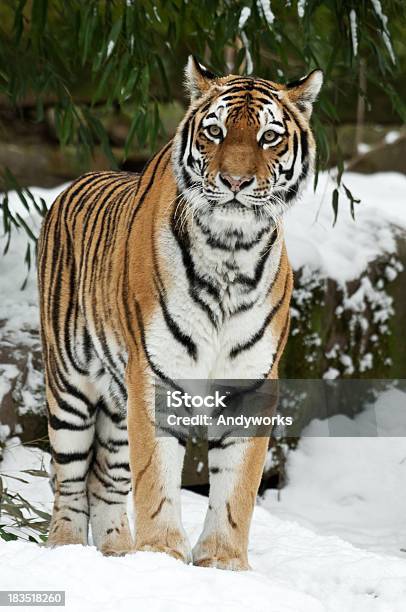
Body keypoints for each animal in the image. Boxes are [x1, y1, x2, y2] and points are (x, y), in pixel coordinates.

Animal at [38, 55, 322, 572]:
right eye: (215, 131)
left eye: (269, 136)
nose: (235, 183)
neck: (231, 251)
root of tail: (76, 182)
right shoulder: (154, 375)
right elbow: (156, 477)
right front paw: (161, 555)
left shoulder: (252, 383)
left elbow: (237, 486)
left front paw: (223, 563)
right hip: (69, 387)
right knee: (68, 479)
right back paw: (67, 551)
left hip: (116, 402)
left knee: (105, 479)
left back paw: (116, 552)